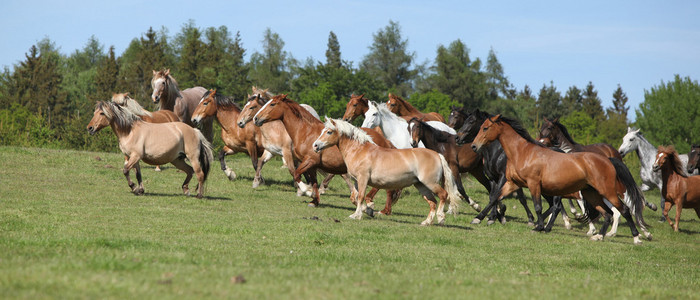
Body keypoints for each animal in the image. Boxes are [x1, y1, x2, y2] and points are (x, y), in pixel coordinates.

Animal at [254, 94, 402, 213]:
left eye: (272, 104)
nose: (256, 118)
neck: (306, 132)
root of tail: (386, 140)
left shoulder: (310, 161)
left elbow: (296, 174)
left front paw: (306, 191)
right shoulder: (312, 165)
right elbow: (313, 182)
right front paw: (314, 201)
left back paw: (378, 208)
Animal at [314, 118, 462, 226]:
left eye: (329, 132)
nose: (315, 145)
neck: (360, 150)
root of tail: (437, 155)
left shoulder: (363, 179)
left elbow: (361, 196)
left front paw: (357, 215)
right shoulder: (357, 181)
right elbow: (356, 197)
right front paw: (368, 210)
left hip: (430, 183)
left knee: (443, 195)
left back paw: (441, 218)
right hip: (421, 185)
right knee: (432, 202)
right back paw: (426, 222)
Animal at [470, 114, 652, 244]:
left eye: (485, 128)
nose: (473, 146)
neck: (523, 152)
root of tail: (608, 159)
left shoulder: (534, 184)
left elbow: (538, 207)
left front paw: (539, 227)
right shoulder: (512, 183)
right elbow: (495, 198)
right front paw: (479, 218)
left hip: (607, 191)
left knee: (624, 210)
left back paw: (637, 238)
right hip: (591, 194)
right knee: (607, 213)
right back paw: (598, 236)